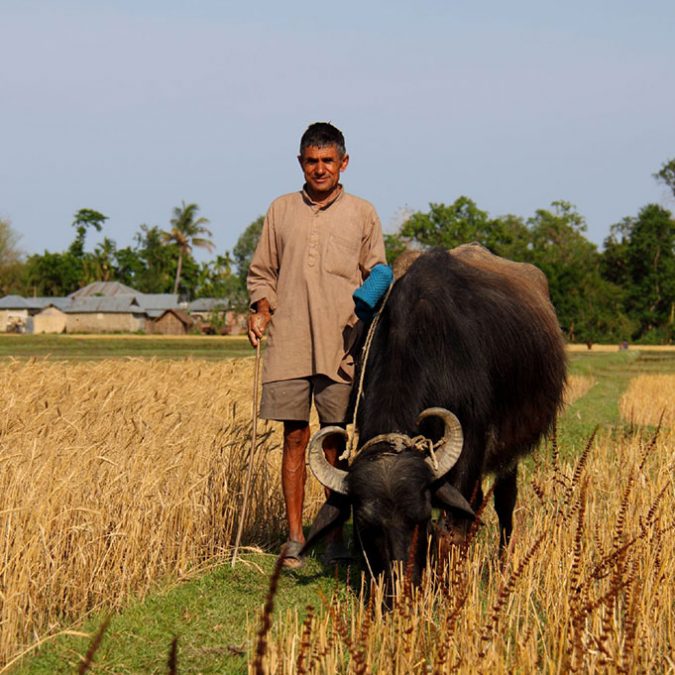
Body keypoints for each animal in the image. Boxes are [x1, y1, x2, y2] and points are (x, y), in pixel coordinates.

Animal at [304, 246, 568, 584]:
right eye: (366, 525)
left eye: (421, 516)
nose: (400, 582)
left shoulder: (474, 443)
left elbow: (452, 528)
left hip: (511, 449)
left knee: (504, 500)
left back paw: (501, 561)